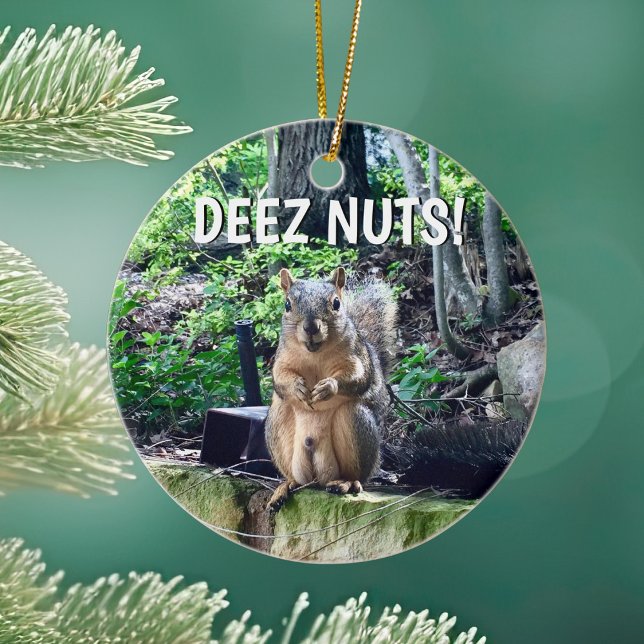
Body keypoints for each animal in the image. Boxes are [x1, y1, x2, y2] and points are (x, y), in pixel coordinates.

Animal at [265, 266, 397, 510]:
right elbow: (280, 378)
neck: (314, 353)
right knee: (296, 479)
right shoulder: (281, 359)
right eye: (287, 304)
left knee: (355, 474)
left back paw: (347, 483)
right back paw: (285, 486)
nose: (310, 327)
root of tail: (318, 478)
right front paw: (297, 387)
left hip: (355, 423)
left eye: (336, 303)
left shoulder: (356, 356)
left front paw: (328, 387)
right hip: (278, 424)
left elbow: (359, 377)